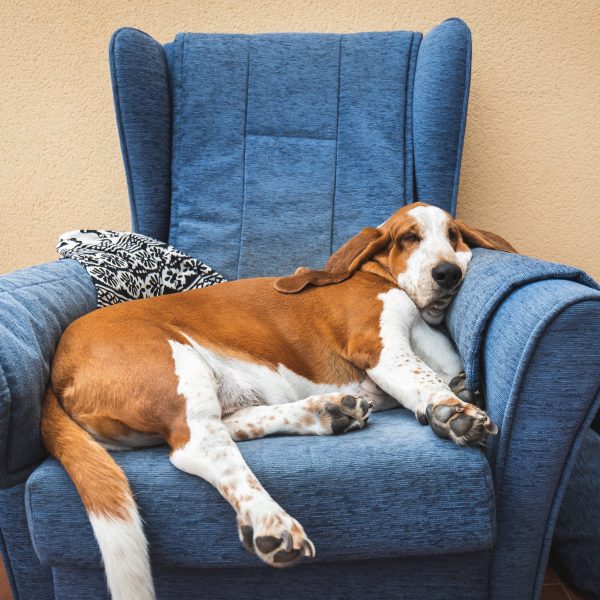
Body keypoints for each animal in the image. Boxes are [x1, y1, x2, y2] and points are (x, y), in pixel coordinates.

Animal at [42, 203, 516, 600]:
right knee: (202, 447)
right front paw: (454, 413)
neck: (381, 278)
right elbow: (425, 381)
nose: (447, 274)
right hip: (178, 363)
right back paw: (270, 520)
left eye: (453, 235)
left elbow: (444, 378)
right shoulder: (381, 349)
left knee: (228, 426)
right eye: (409, 238)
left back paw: (329, 412)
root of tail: (57, 369)